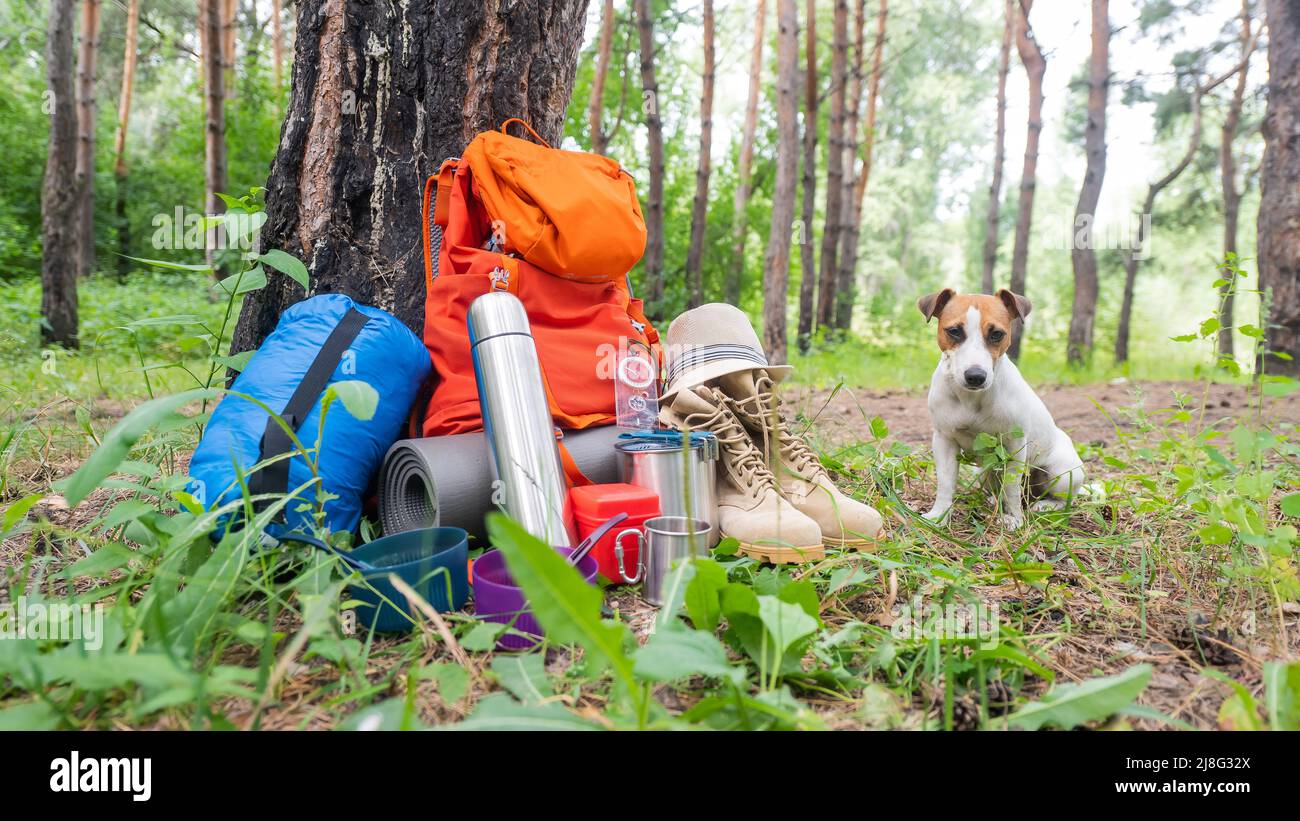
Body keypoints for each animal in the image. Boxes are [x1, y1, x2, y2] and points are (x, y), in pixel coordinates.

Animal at [915, 288, 1086, 532]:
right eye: (954, 331)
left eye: (997, 334)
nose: (975, 376)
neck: (972, 399)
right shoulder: (944, 441)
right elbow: (945, 484)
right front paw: (939, 516)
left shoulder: (1014, 447)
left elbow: (1011, 489)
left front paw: (1013, 519)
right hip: (983, 472)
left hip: (1061, 473)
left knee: (1060, 499)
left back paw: (1045, 505)